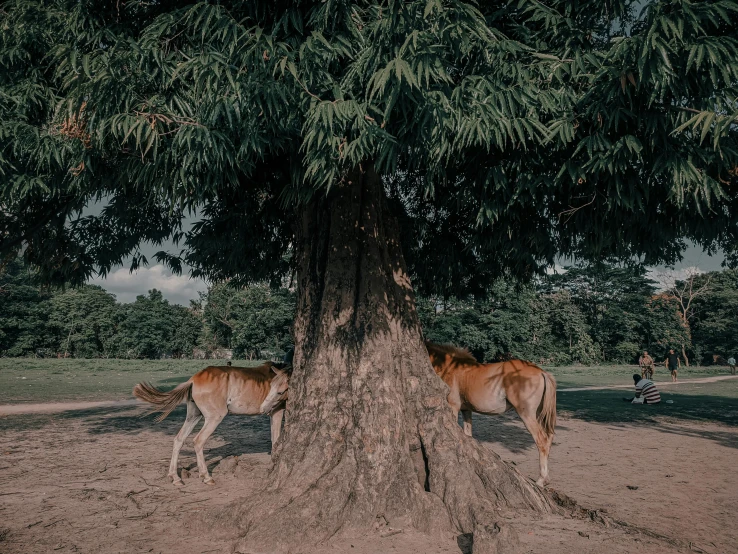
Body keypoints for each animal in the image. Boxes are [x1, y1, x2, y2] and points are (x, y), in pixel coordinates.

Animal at [134, 362, 288, 484]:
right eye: (278, 391)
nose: (263, 407)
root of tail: (194, 379)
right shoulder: (277, 412)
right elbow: (275, 438)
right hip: (214, 418)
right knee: (198, 441)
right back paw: (206, 476)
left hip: (194, 416)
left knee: (179, 439)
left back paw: (175, 477)